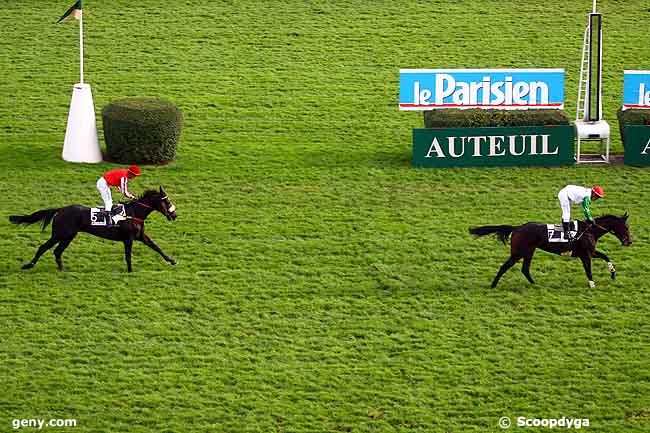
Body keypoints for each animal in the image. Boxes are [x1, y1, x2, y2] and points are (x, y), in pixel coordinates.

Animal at [10, 186, 177, 274]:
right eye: (167, 201)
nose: (174, 215)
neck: (134, 213)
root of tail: (61, 209)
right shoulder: (128, 239)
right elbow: (128, 255)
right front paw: (130, 271)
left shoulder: (141, 236)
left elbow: (156, 247)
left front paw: (172, 260)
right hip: (60, 234)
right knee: (43, 247)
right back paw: (29, 265)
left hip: (69, 236)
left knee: (57, 251)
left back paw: (62, 269)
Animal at [468, 213, 632, 286]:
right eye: (626, 227)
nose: (629, 241)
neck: (590, 230)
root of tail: (517, 227)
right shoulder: (586, 254)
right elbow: (589, 270)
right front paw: (592, 284)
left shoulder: (590, 252)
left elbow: (606, 257)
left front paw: (613, 275)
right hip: (519, 252)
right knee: (505, 266)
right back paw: (493, 285)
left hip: (529, 251)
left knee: (525, 269)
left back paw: (534, 284)